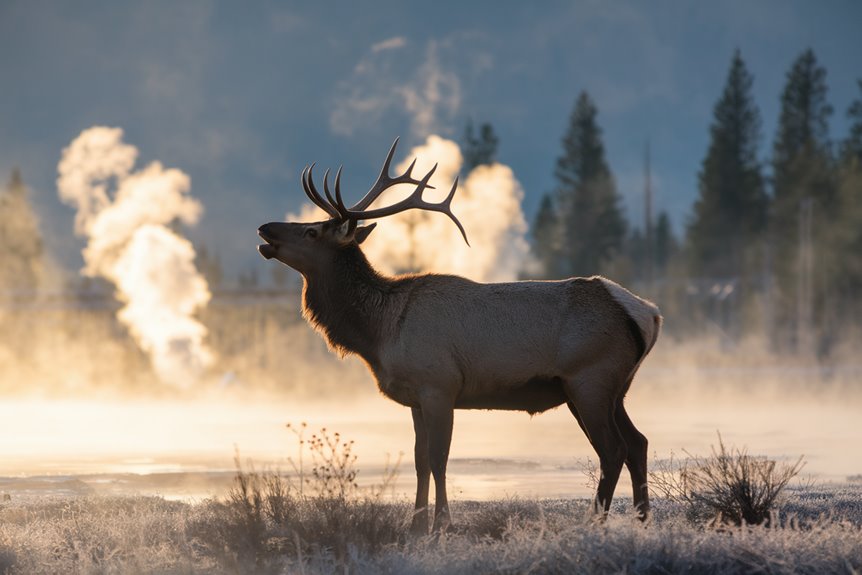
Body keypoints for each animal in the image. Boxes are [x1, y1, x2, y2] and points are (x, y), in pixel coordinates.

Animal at [257, 139, 662, 534]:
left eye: (311, 231)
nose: (265, 229)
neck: (379, 332)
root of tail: (648, 314)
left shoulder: (440, 385)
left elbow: (439, 459)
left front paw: (442, 522)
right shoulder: (416, 397)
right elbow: (419, 460)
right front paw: (416, 524)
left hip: (589, 379)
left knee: (612, 449)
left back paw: (595, 520)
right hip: (612, 388)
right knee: (637, 442)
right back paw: (642, 518)